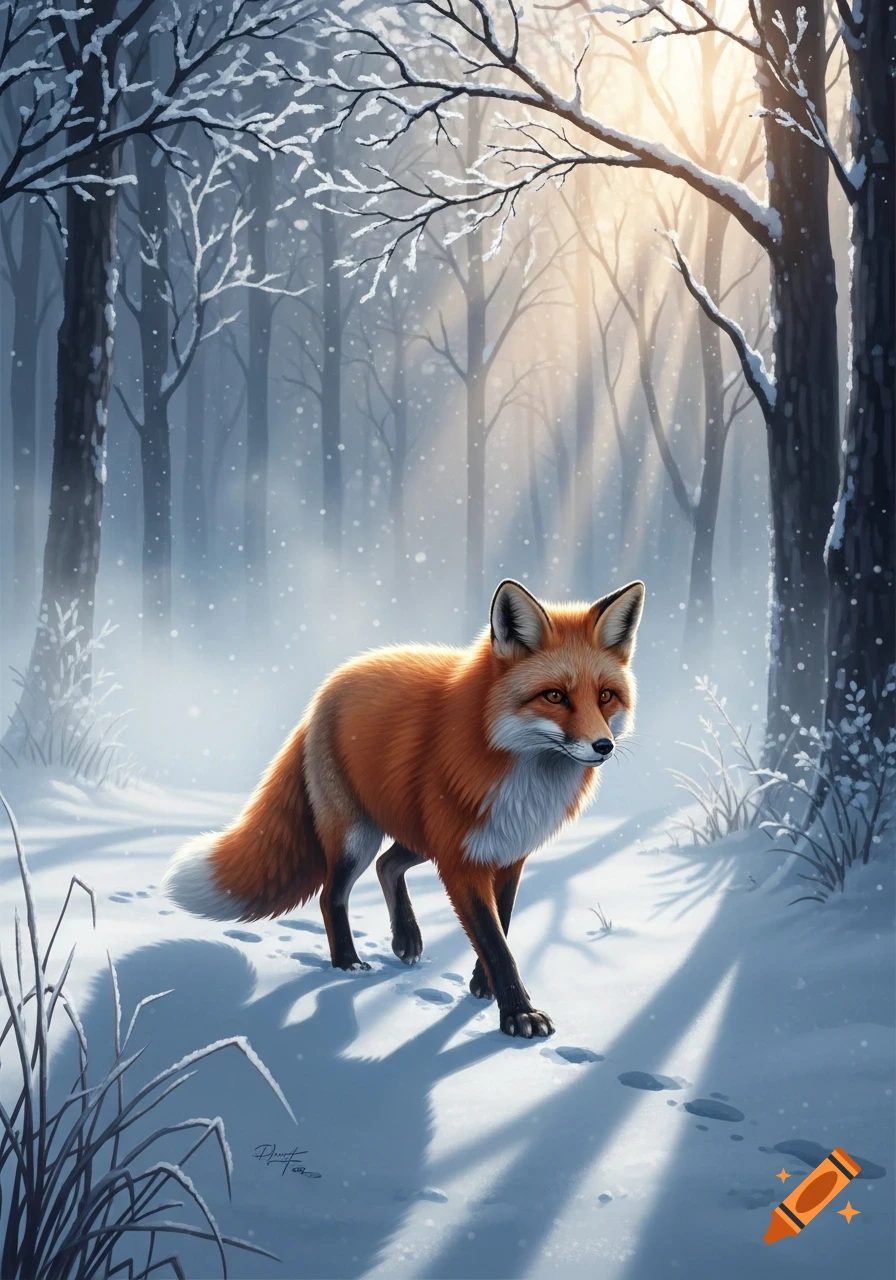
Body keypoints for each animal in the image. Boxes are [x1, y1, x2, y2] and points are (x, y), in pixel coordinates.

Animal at [162, 578, 645, 1038]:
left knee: (387, 864)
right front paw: (518, 1014)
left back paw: (406, 939)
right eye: (555, 697)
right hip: (362, 837)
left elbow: (503, 925)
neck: (521, 777)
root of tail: (328, 687)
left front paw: (483, 986)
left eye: (605, 697)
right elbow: (494, 941)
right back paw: (348, 963)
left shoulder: (508, 853)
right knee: (332, 894)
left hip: (420, 832)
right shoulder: (462, 861)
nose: (603, 746)